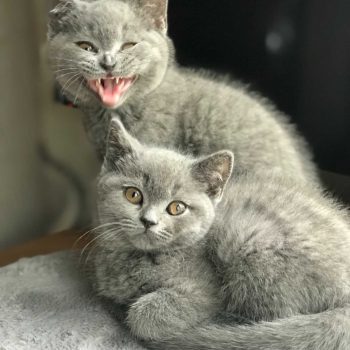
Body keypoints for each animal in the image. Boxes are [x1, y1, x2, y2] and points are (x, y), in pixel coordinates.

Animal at [88, 118, 350, 350]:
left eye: (177, 207)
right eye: (133, 195)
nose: (148, 221)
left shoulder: (206, 292)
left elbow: (142, 316)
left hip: (248, 239)